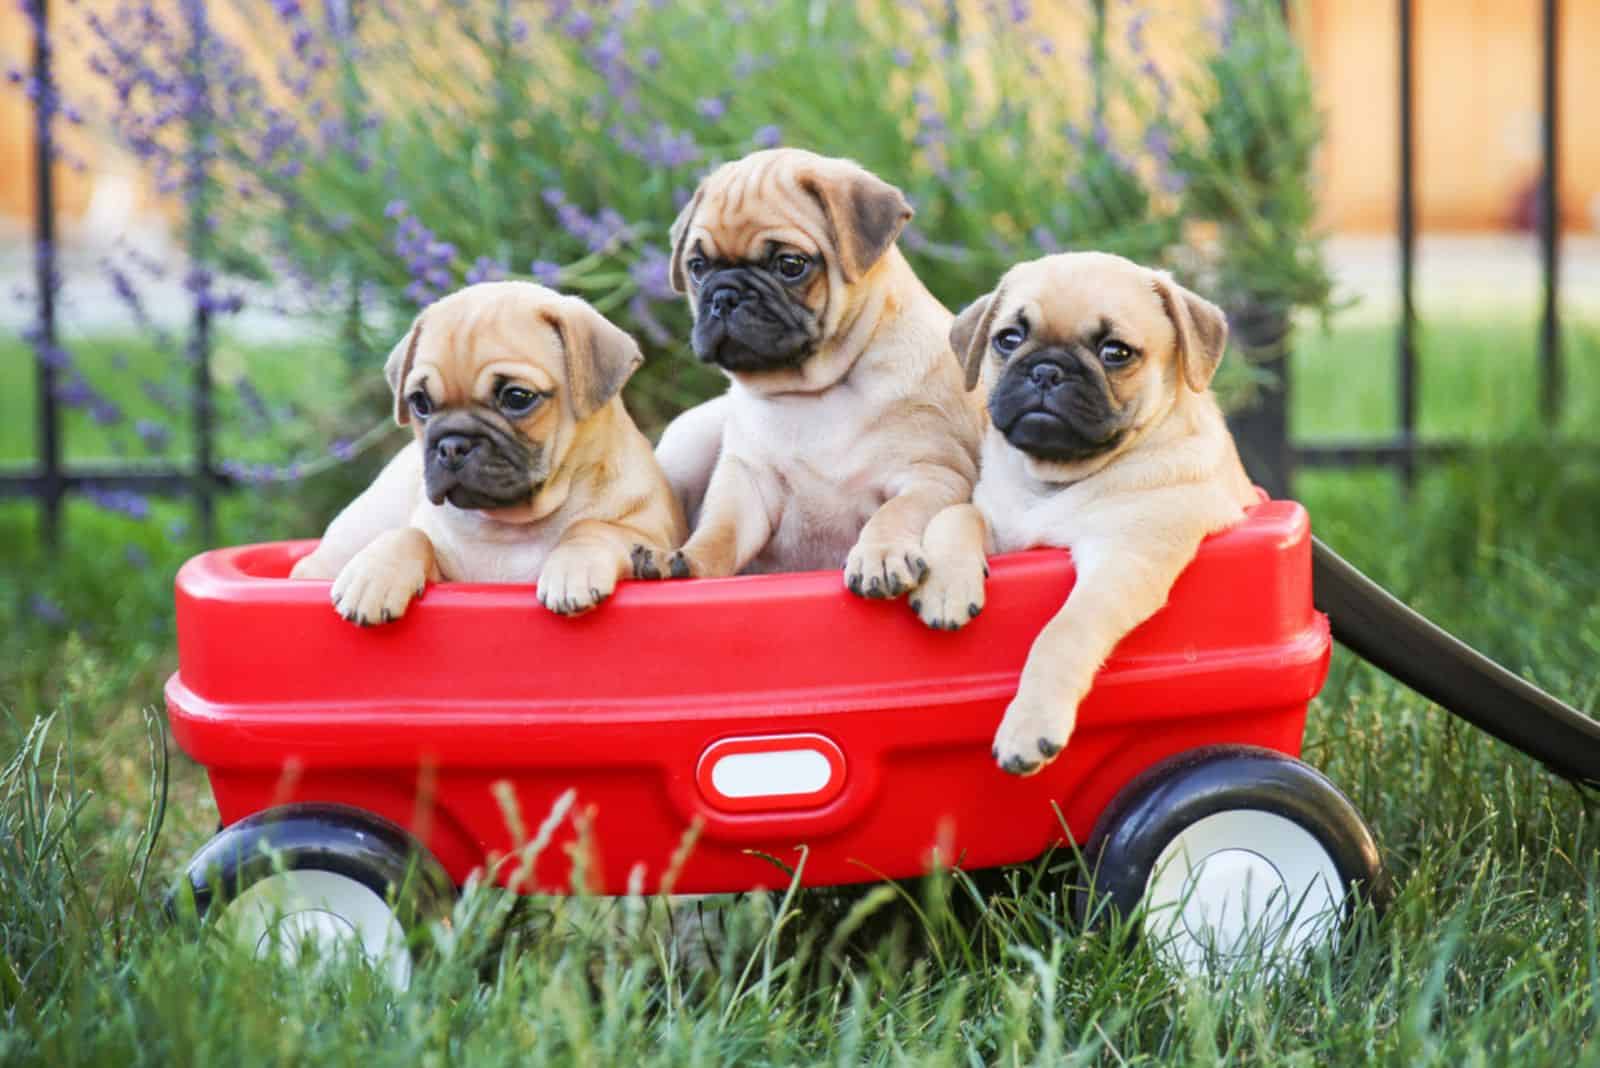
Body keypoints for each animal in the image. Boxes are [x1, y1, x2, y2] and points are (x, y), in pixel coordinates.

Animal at [289, 279, 688, 620]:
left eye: (517, 397)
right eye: (420, 403)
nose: (451, 445)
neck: (513, 525)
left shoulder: (650, 536)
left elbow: (593, 527)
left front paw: (573, 566)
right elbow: (412, 534)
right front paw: (375, 574)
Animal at [630, 151, 979, 591]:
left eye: (790, 265)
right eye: (697, 267)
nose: (724, 295)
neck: (814, 390)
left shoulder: (933, 476)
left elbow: (894, 512)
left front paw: (880, 554)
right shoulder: (746, 484)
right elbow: (718, 532)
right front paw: (686, 559)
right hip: (688, 440)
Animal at [915, 255, 1260, 780]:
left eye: (1116, 352)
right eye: (1008, 339)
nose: (1046, 370)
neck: (1053, 480)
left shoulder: (1123, 561)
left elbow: (1062, 632)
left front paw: (1029, 725)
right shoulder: (997, 522)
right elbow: (955, 516)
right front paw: (946, 586)